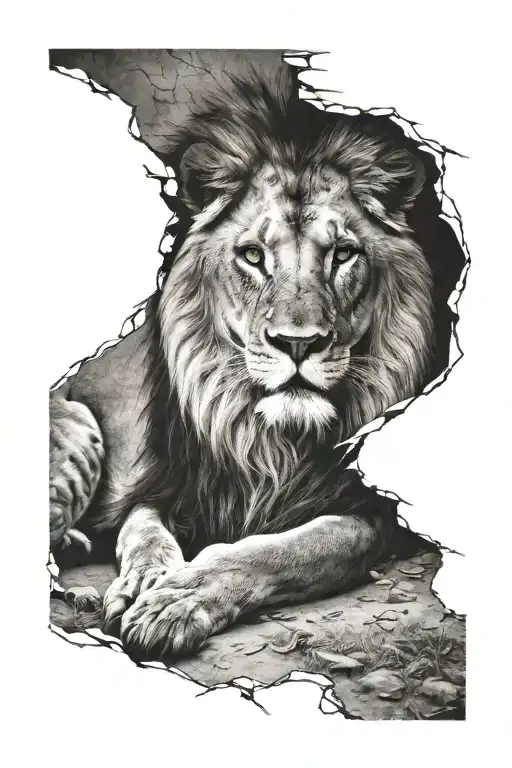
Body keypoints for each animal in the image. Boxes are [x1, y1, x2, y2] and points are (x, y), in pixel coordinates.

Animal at [49, 74, 434, 661]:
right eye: (253, 255)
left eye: (342, 254)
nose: (298, 344)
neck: (271, 441)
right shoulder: (161, 488)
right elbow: (143, 535)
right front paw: (145, 583)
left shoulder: (370, 513)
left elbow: (279, 548)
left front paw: (174, 602)